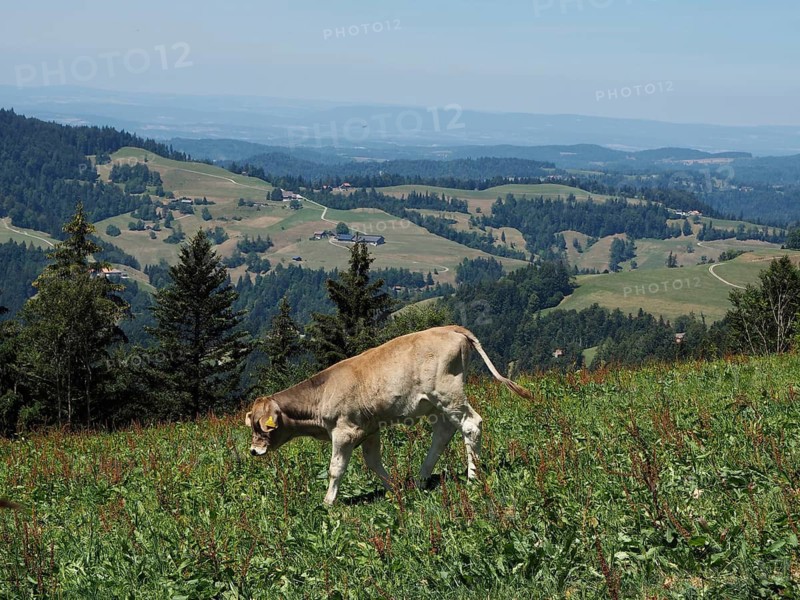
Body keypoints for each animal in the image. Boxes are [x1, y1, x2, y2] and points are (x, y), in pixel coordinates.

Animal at [245, 325, 533, 504]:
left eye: (262, 426)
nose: (253, 451)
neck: (322, 393)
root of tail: (450, 328)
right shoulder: (369, 429)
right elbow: (373, 462)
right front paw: (394, 488)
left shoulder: (344, 431)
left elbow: (336, 468)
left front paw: (328, 502)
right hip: (436, 404)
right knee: (443, 433)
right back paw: (420, 479)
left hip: (448, 393)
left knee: (471, 425)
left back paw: (473, 478)